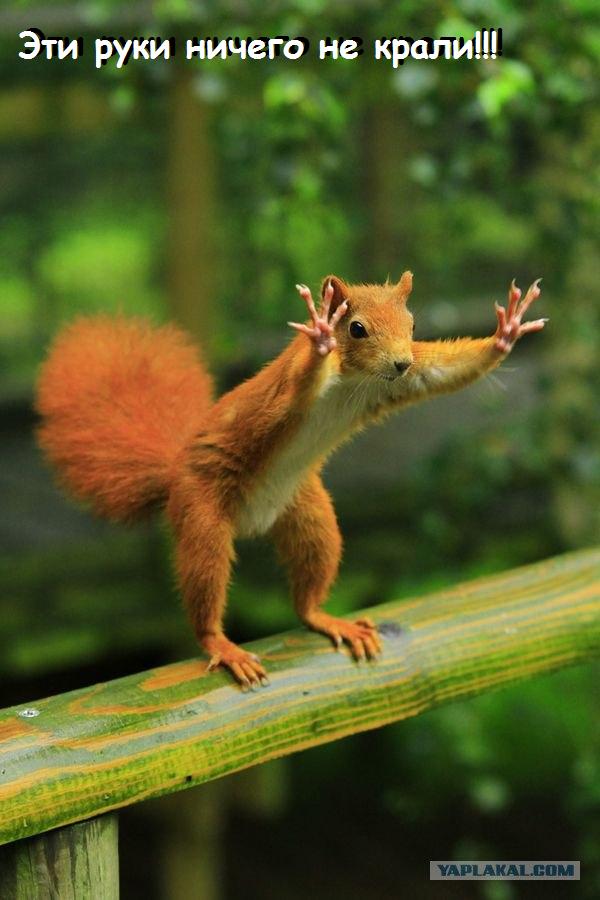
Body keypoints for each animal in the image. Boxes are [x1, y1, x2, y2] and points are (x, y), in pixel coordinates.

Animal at [36, 272, 545, 687]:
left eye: (414, 325)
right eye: (356, 328)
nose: (401, 361)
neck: (354, 380)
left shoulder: (402, 382)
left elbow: (442, 371)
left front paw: (506, 333)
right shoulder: (286, 392)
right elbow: (297, 387)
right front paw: (320, 334)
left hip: (309, 514)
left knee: (307, 590)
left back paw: (326, 618)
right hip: (202, 513)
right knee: (204, 583)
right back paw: (221, 644)